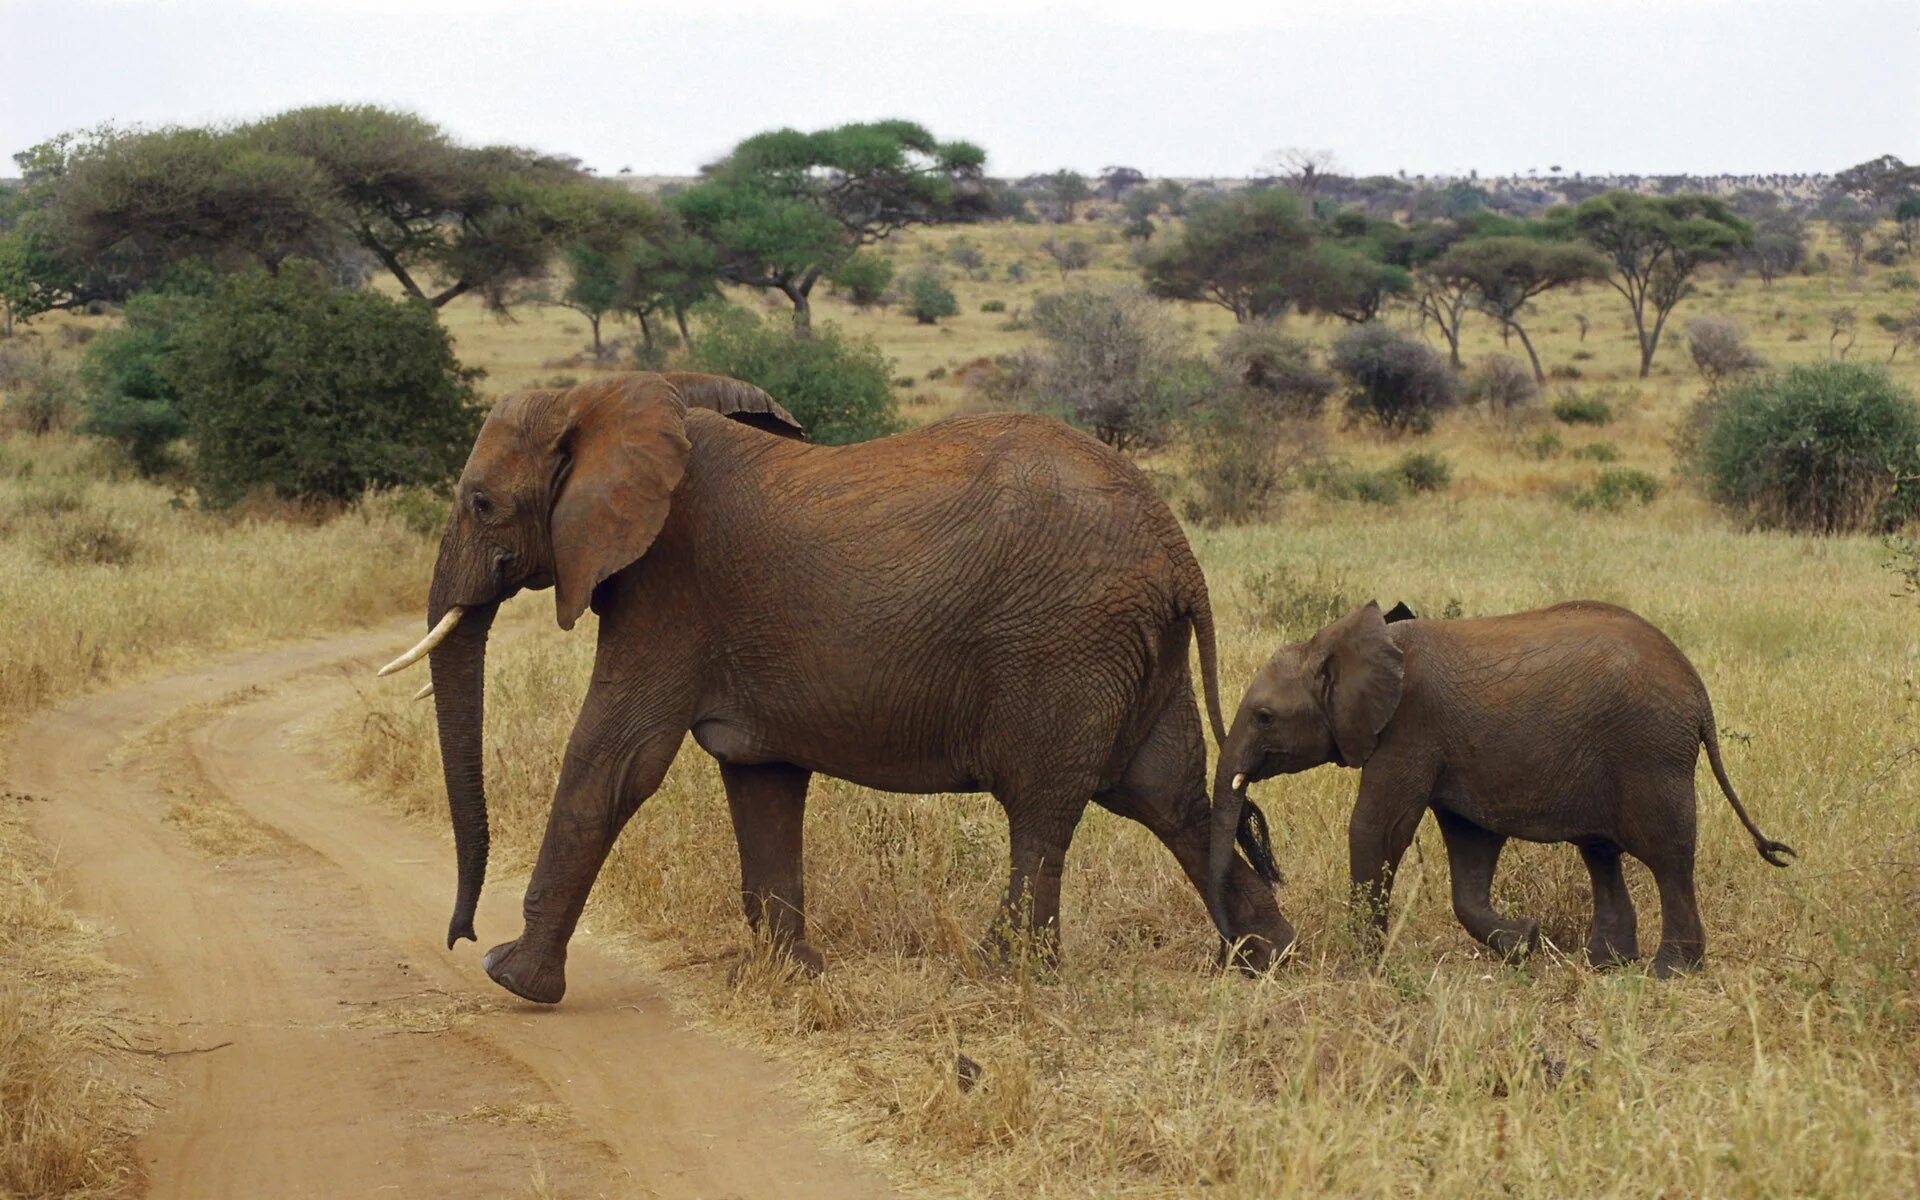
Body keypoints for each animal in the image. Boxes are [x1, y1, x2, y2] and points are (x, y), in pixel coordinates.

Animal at [377, 372, 1293, 1004]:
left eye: (480, 502)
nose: (459, 935)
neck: (611, 394)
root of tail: (1175, 545)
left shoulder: (669, 588)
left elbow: (614, 763)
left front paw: (512, 979)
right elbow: (762, 781)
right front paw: (790, 978)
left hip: (1064, 643)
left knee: (1044, 809)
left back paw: (1001, 977)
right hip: (1136, 648)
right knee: (1167, 796)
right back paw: (1269, 959)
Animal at [1206, 600, 1795, 977]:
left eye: (1264, 716)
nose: (1241, 959)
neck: (1337, 642)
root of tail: (1699, 696)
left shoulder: (1409, 728)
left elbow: (1379, 828)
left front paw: (1360, 968)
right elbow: (1470, 848)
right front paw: (1525, 943)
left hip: (1650, 752)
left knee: (1667, 857)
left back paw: (1670, 973)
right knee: (1601, 852)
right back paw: (1605, 964)